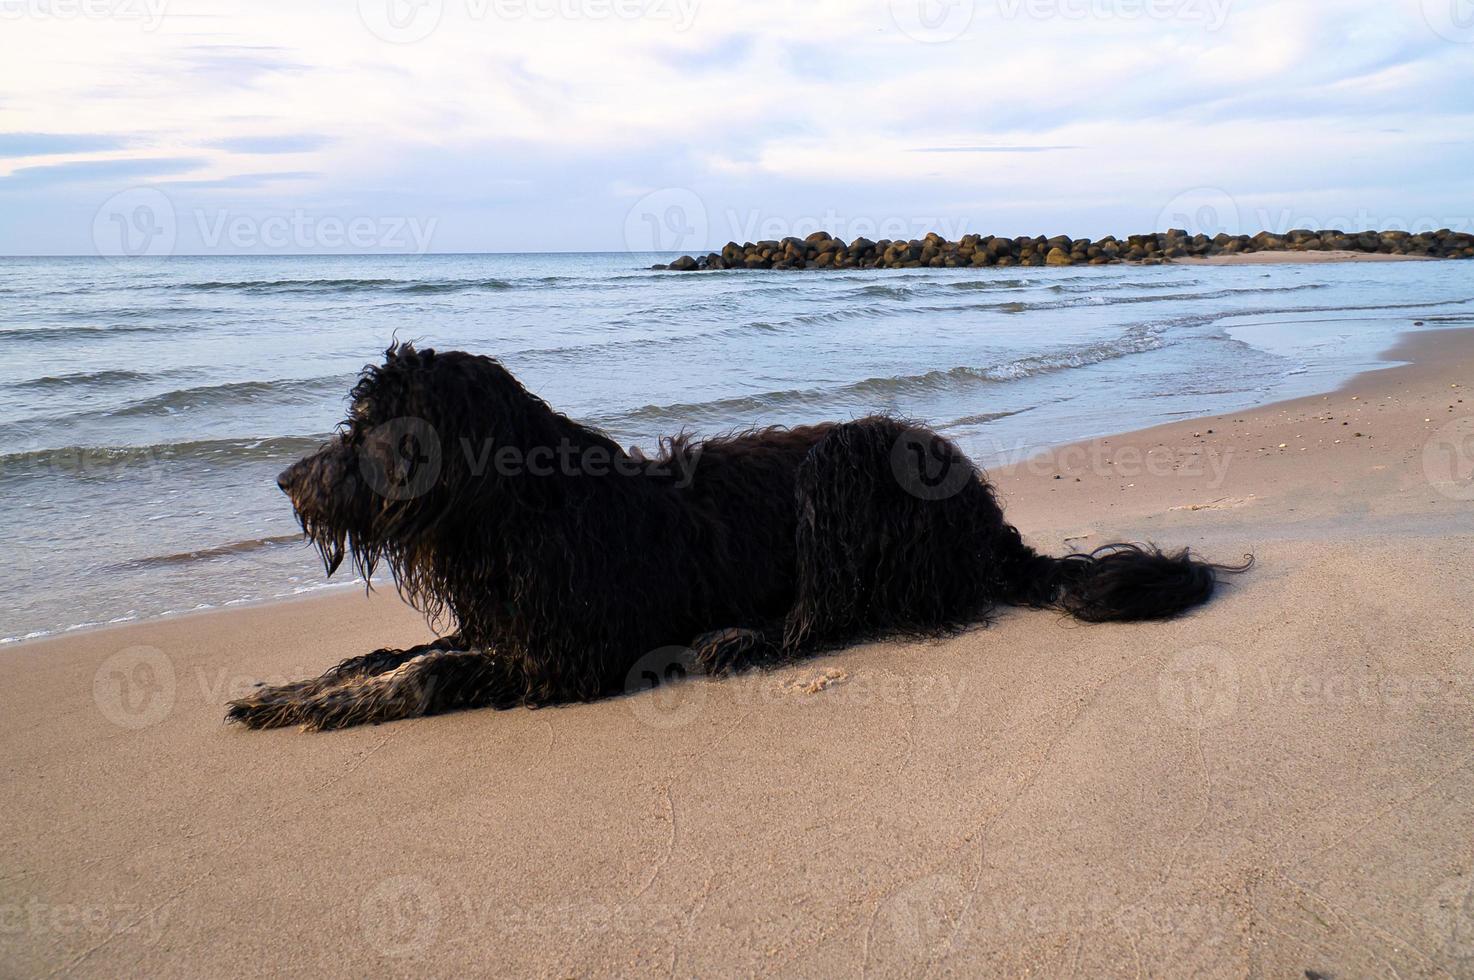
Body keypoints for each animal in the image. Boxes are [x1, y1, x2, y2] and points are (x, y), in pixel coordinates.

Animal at [226, 340, 1244, 730]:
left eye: (365, 430)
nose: (284, 482)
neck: (517, 506)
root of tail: (990, 523)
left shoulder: (568, 655)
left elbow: (427, 672)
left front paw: (314, 706)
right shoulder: (503, 627)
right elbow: (394, 655)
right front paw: (296, 686)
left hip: (849, 462)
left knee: (830, 618)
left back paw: (734, 640)